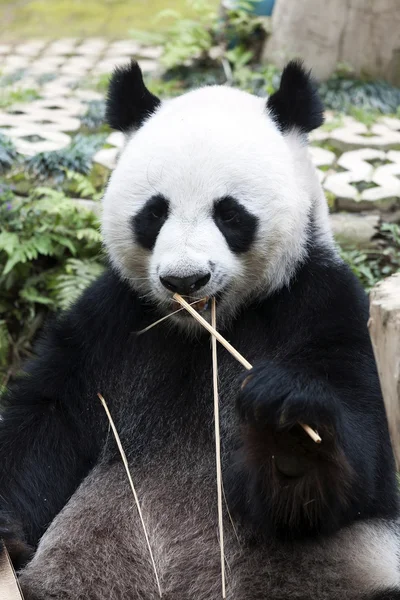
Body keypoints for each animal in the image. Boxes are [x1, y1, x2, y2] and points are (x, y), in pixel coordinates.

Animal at [0, 59, 400, 600]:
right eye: (154, 212)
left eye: (230, 214)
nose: (185, 280)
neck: (204, 330)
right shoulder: (109, 325)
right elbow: (44, 421)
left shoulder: (321, 303)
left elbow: (361, 465)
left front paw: (289, 433)